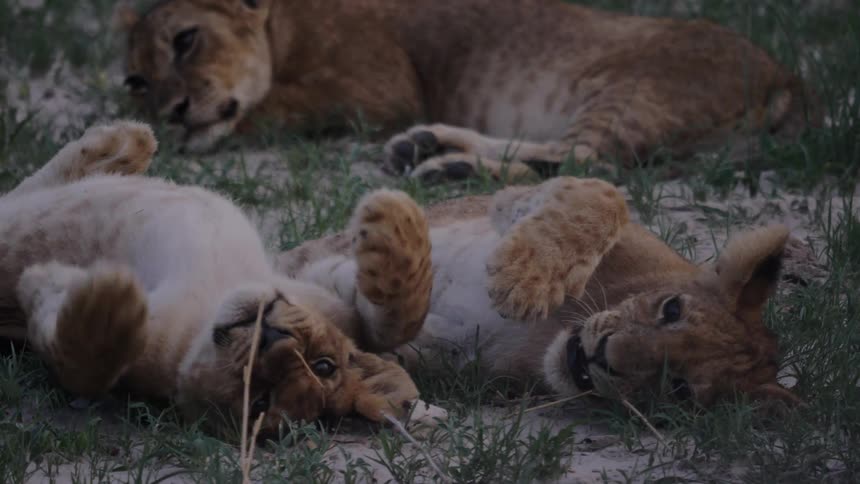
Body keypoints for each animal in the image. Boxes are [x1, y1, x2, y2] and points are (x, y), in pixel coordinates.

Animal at [119, 0, 817, 180]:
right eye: (136, 80)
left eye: (186, 39)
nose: (172, 111)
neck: (284, 25)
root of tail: (786, 75)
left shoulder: (383, 88)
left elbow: (271, 106)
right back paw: (425, 150)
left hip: (635, 88)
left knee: (586, 161)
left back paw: (443, 167)